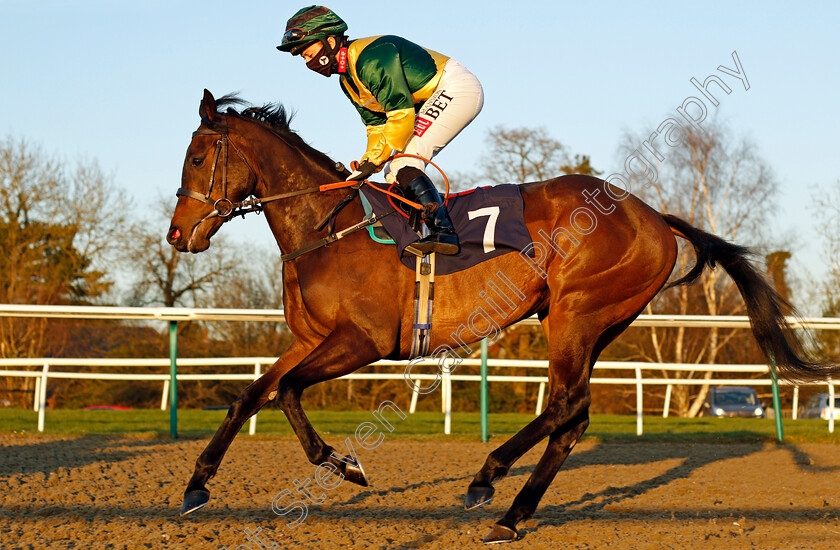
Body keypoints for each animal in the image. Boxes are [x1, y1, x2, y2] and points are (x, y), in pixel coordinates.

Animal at [166, 88, 832, 544]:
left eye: (197, 157)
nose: (177, 234)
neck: (328, 230)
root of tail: (654, 217)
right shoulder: (311, 338)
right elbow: (253, 392)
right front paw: (197, 483)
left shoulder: (364, 340)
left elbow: (288, 392)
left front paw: (342, 463)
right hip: (589, 322)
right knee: (573, 416)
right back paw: (512, 516)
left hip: (577, 311)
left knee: (565, 404)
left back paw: (487, 477)